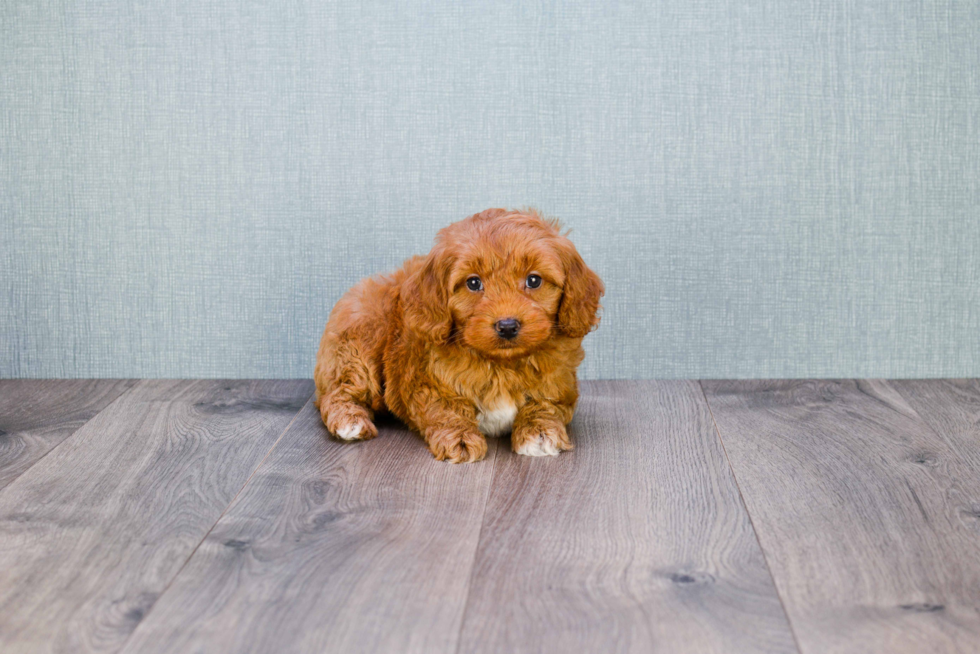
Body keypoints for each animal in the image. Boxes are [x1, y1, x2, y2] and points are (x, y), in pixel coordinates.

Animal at [314, 209, 604, 462]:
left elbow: (545, 404)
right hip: (359, 339)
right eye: (473, 283)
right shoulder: (426, 383)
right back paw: (349, 420)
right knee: (338, 390)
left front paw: (540, 433)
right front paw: (460, 438)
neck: (502, 365)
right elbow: (446, 409)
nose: (507, 326)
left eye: (534, 280)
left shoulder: (560, 386)